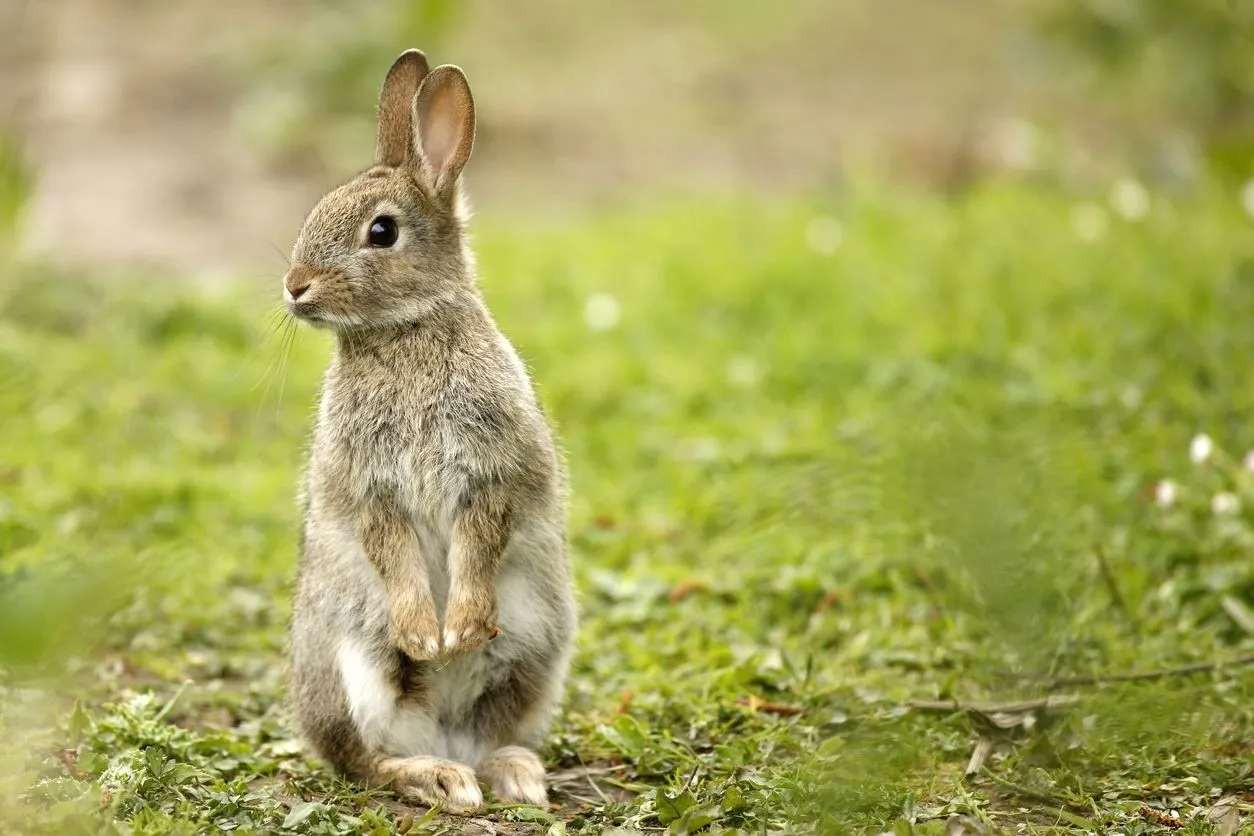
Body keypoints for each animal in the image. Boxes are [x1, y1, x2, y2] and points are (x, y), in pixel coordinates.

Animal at [284, 49, 576, 813]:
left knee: (491, 733)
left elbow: (481, 538)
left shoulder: (493, 472)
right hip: (354, 667)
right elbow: (392, 549)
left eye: (381, 231)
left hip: (534, 652)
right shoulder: (371, 488)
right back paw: (438, 776)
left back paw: (511, 775)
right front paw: (425, 635)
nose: (294, 286)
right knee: (368, 762)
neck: (405, 330)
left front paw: (460, 627)